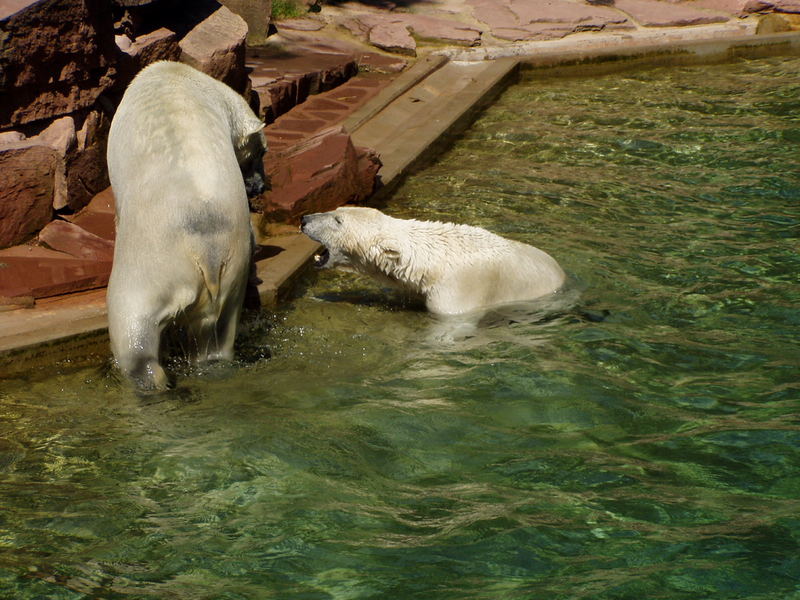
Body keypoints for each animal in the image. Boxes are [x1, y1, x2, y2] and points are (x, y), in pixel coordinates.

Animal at [104, 59, 268, 390]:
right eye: (261, 153)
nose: (261, 185)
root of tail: (206, 252)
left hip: (153, 268)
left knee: (132, 321)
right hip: (233, 267)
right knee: (216, 335)